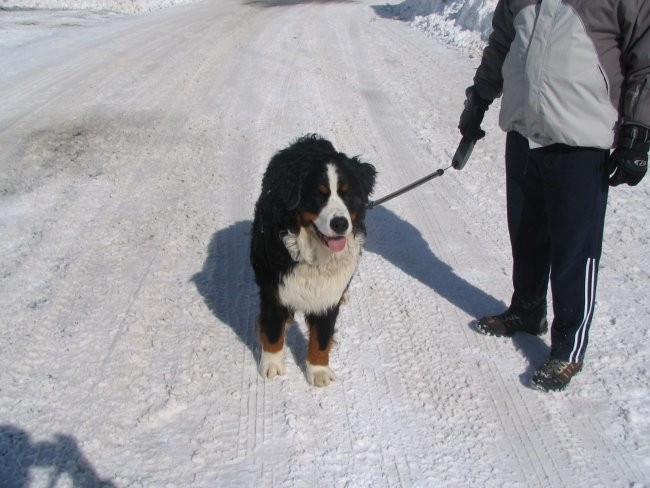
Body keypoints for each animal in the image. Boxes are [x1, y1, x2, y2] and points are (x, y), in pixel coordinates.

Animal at [251, 133, 378, 386]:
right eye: (319, 195)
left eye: (347, 193)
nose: (340, 224)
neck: (315, 255)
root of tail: (310, 139)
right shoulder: (274, 290)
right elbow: (273, 331)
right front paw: (272, 365)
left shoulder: (327, 295)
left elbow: (322, 337)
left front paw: (318, 371)